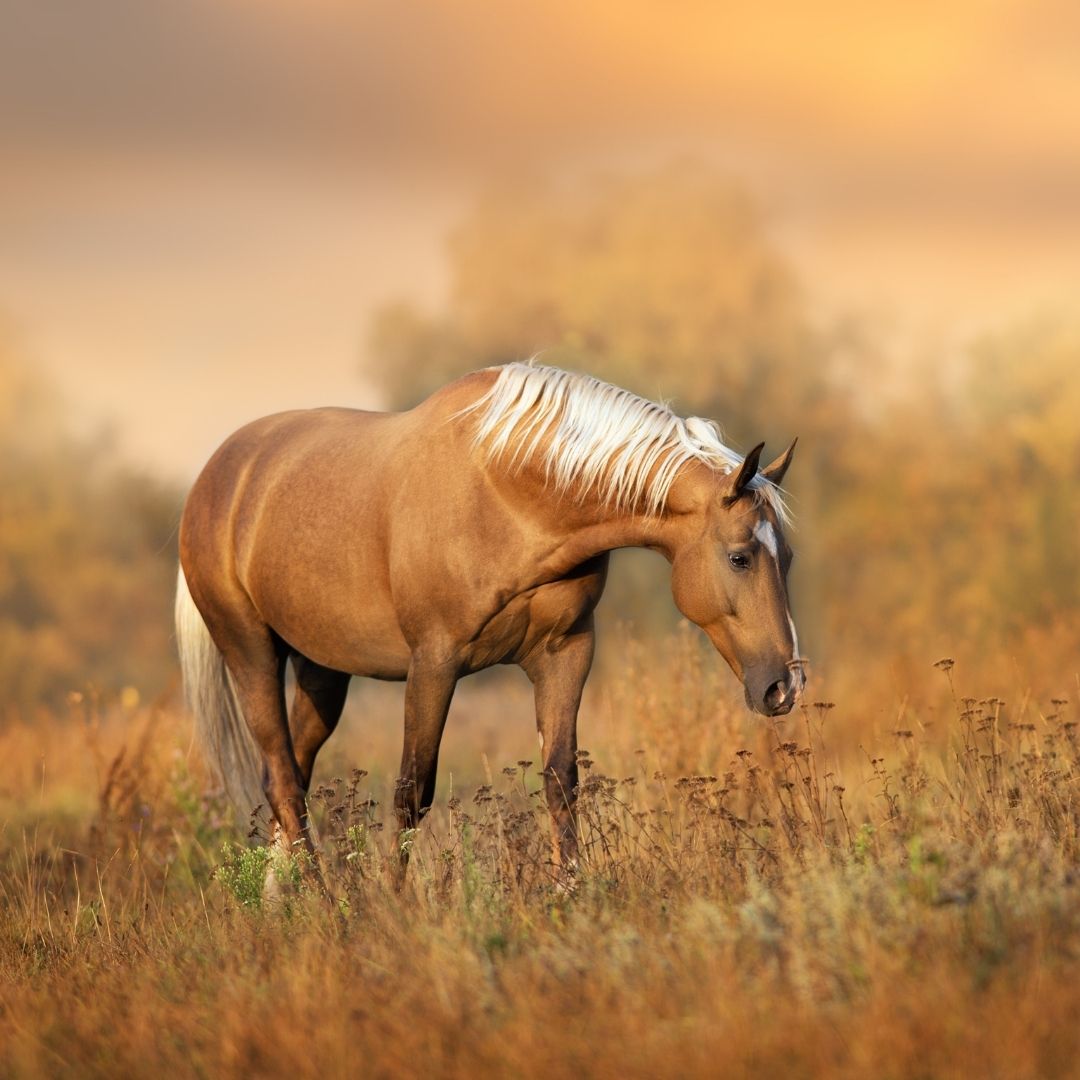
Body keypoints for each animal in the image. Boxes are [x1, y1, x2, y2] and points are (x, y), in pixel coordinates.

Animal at [175, 362, 803, 879]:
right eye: (740, 557)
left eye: (788, 558)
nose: (785, 686)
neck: (507, 494)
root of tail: (216, 476)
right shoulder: (433, 663)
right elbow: (412, 792)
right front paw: (394, 909)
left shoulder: (567, 652)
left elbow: (561, 782)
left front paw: (571, 894)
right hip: (251, 653)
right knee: (282, 781)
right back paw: (326, 904)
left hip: (322, 669)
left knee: (292, 779)